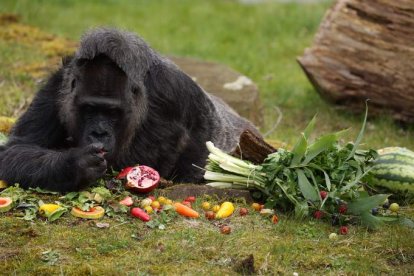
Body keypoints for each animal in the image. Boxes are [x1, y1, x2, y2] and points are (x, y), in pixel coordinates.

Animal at [0, 28, 258, 192]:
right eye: (89, 109)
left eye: (113, 113)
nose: (99, 133)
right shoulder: (57, 84)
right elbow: (17, 147)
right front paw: (73, 165)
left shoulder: (175, 93)